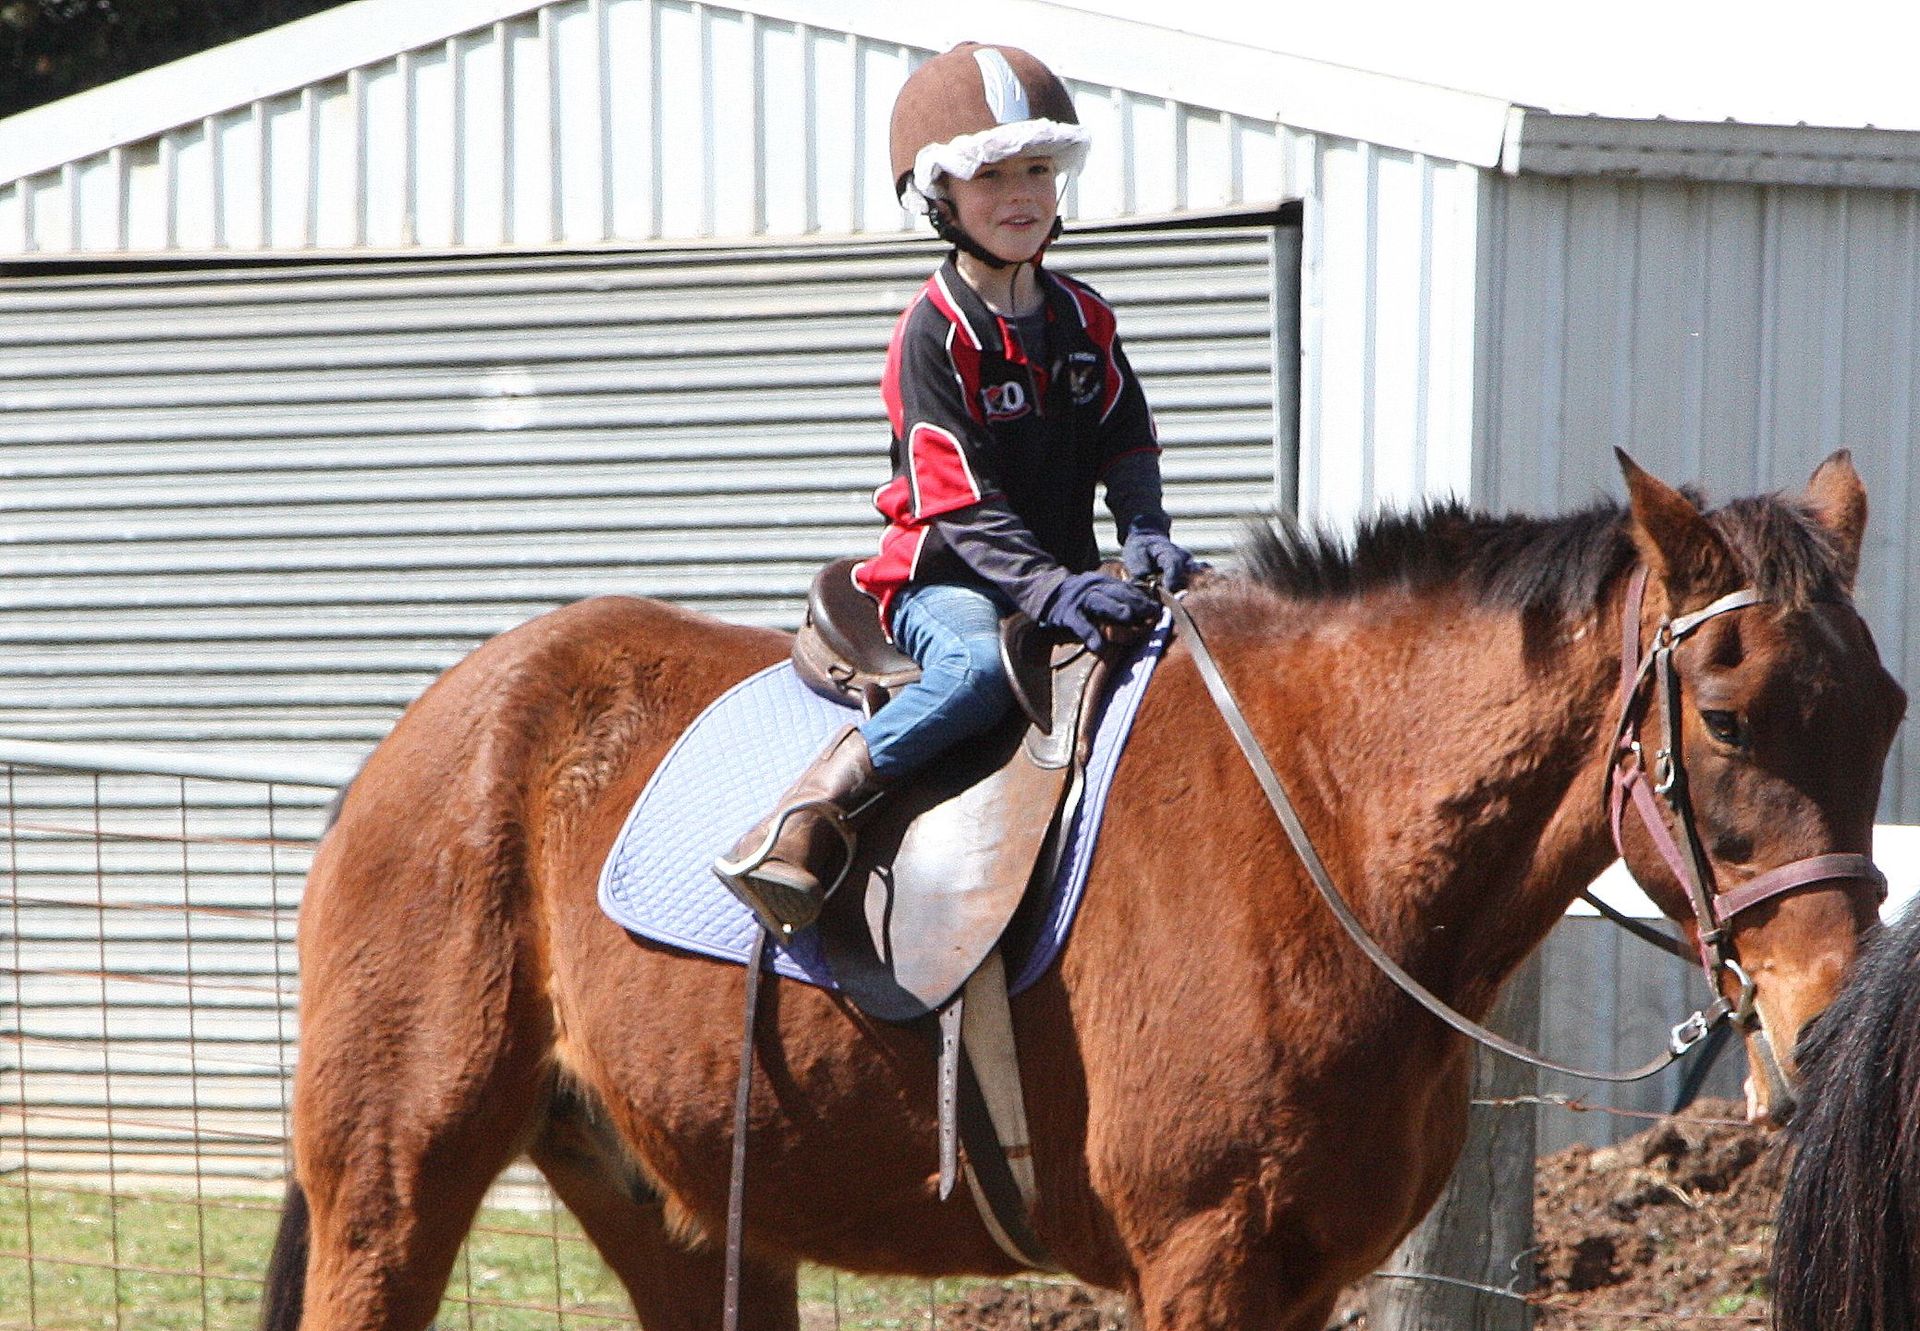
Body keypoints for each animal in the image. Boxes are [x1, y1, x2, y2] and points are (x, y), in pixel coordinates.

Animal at [258, 451, 1904, 1331]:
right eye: (1730, 719)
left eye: (1886, 713)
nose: (1827, 1021)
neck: (1323, 811)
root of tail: (438, 724)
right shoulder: (1203, 1264)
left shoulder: (1301, 1281)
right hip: (394, 1191)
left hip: (677, 1210)